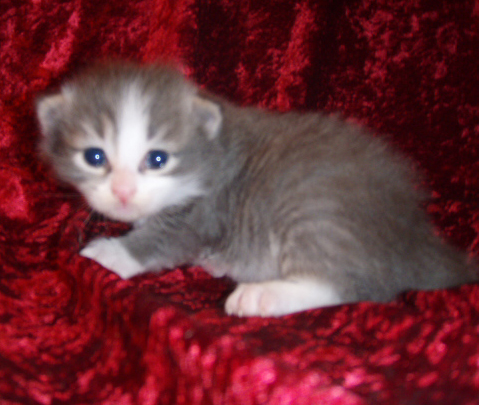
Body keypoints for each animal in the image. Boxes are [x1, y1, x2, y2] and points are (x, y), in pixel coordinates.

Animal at [35, 62, 478, 316]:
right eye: (94, 157)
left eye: (157, 159)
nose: (124, 192)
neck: (213, 152)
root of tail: (417, 236)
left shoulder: (206, 210)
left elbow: (165, 239)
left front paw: (111, 251)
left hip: (314, 209)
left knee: (357, 285)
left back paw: (262, 296)